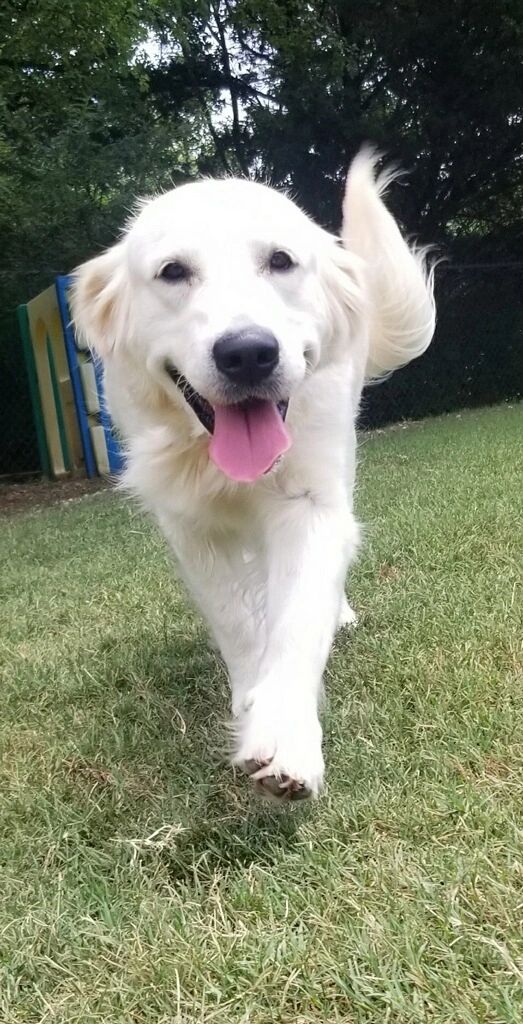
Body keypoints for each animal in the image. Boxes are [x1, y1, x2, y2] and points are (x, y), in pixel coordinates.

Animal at [71, 149, 436, 798]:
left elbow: (297, 619)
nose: (247, 353)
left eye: (281, 261)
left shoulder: (310, 503)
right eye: (173, 272)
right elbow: (234, 617)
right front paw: (250, 695)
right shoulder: (190, 525)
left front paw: (286, 735)